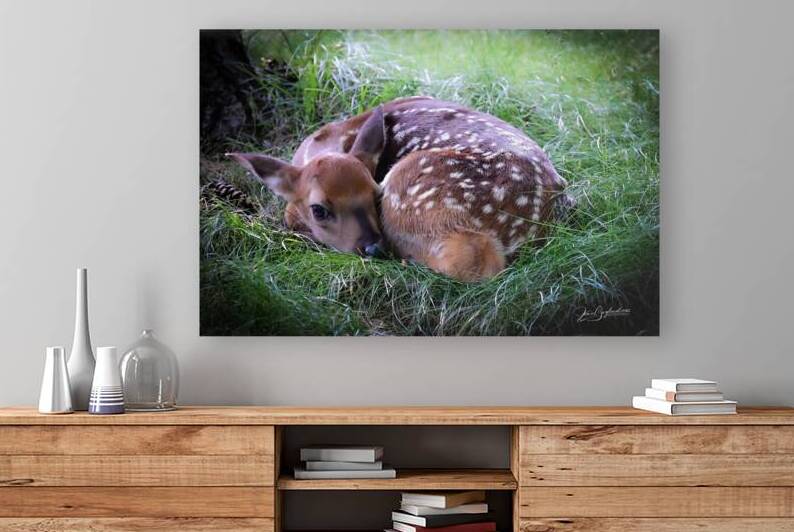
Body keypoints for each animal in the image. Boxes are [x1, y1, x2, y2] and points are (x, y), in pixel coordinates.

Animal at [229, 96, 575, 281]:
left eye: (374, 194)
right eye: (320, 210)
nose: (373, 248)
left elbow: (288, 213)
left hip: (413, 188)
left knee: (473, 260)